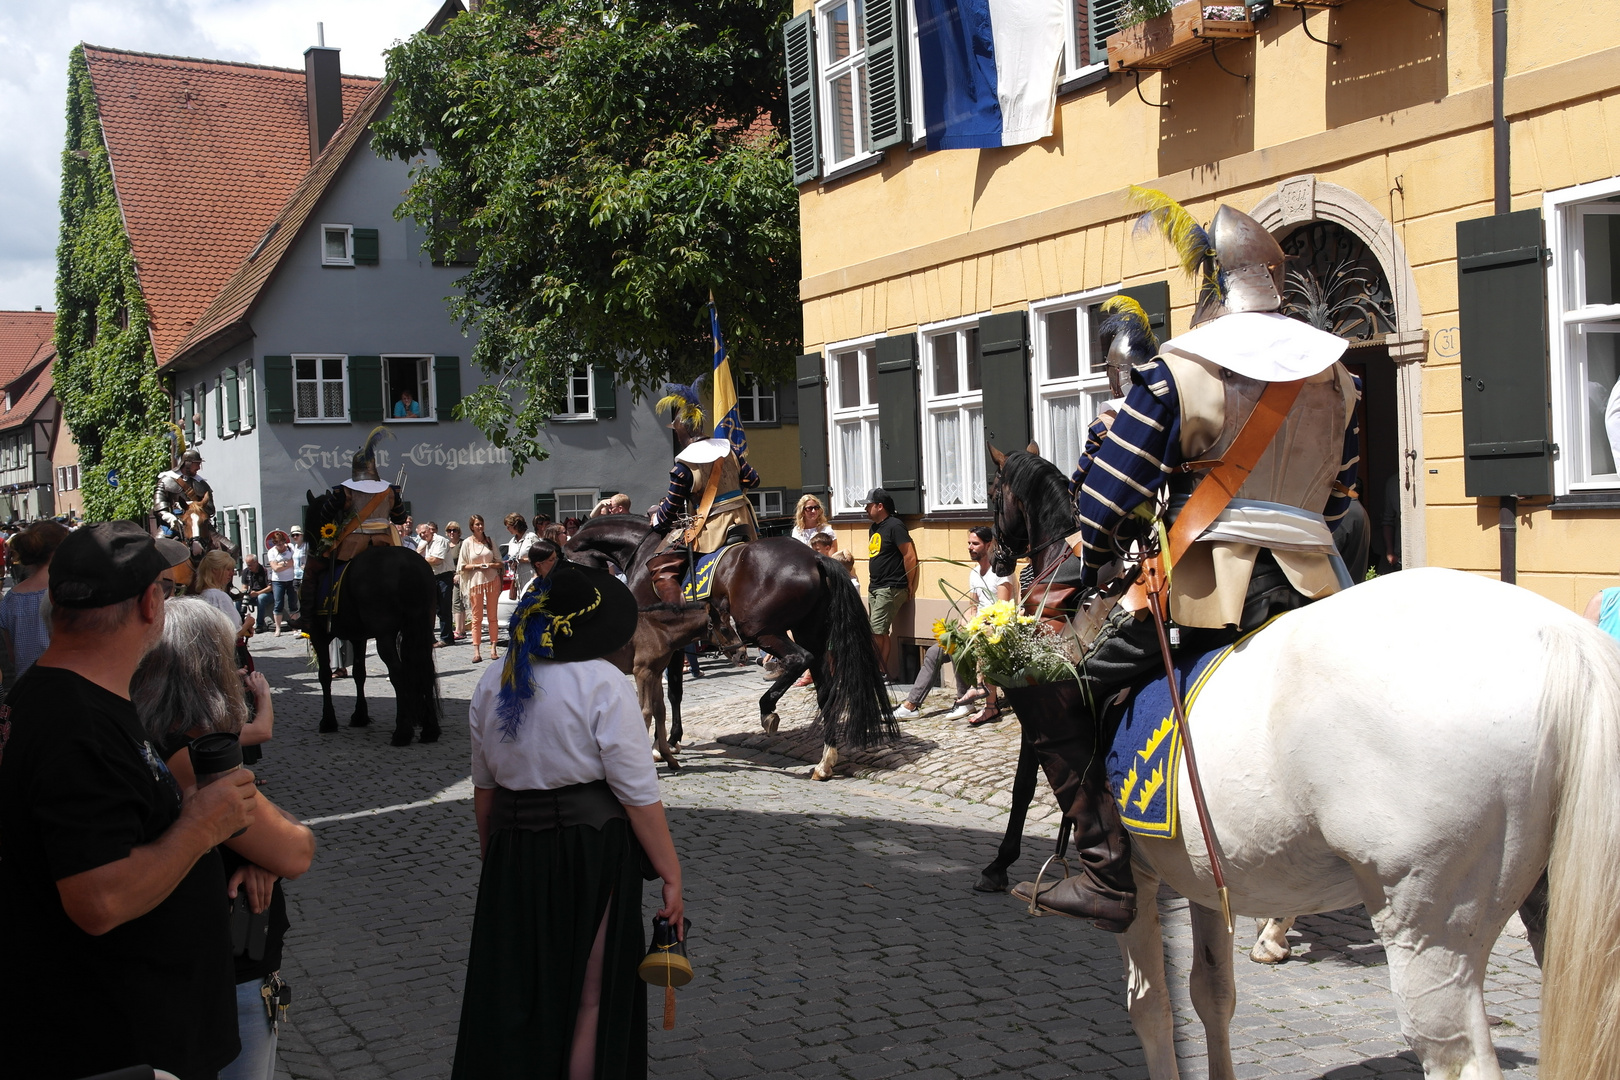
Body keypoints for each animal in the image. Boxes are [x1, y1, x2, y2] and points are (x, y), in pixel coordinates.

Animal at [304, 495, 440, 748]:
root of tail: (409, 566)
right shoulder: (358, 637)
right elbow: (359, 673)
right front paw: (360, 716)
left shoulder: (320, 635)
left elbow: (324, 675)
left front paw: (328, 721)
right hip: (421, 628)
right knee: (425, 670)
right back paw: (430, 730)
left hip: (385, 636)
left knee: (398, 672)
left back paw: (402, 732)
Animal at [567, 514, 900, 777]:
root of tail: (814, 558)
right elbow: (670, 694)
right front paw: (669, 742)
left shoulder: (667, 647)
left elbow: (670, 693)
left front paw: (665, 745)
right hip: (809, 633)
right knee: (825, 690)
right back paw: (825, 760)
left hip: (764, 632)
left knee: (797, 660)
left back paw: (768, 709)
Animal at [1095, 566, 1613, 1080]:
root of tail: (1563, 637)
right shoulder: (1203, 877)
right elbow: (1213, 992)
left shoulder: (1139, 879)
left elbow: (1149, 1005)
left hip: (1431, 936)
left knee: (1457, 1056)